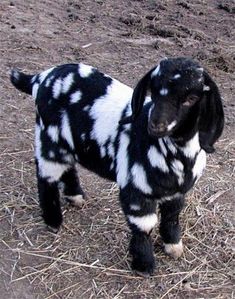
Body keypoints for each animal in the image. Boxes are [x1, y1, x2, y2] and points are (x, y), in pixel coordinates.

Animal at [10, 58, 224, 276]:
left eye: (191, 98)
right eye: (153, 92)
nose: (156, 125)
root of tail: (42, 77)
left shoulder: (175, 192)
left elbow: (172, 216)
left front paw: (173, 247)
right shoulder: (136, 189)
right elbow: (144, 226)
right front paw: (144, 265)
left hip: (66, 143)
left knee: (68, 166)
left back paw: (75, 197)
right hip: (49, 139)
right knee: (46, 177)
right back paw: (53, 221)